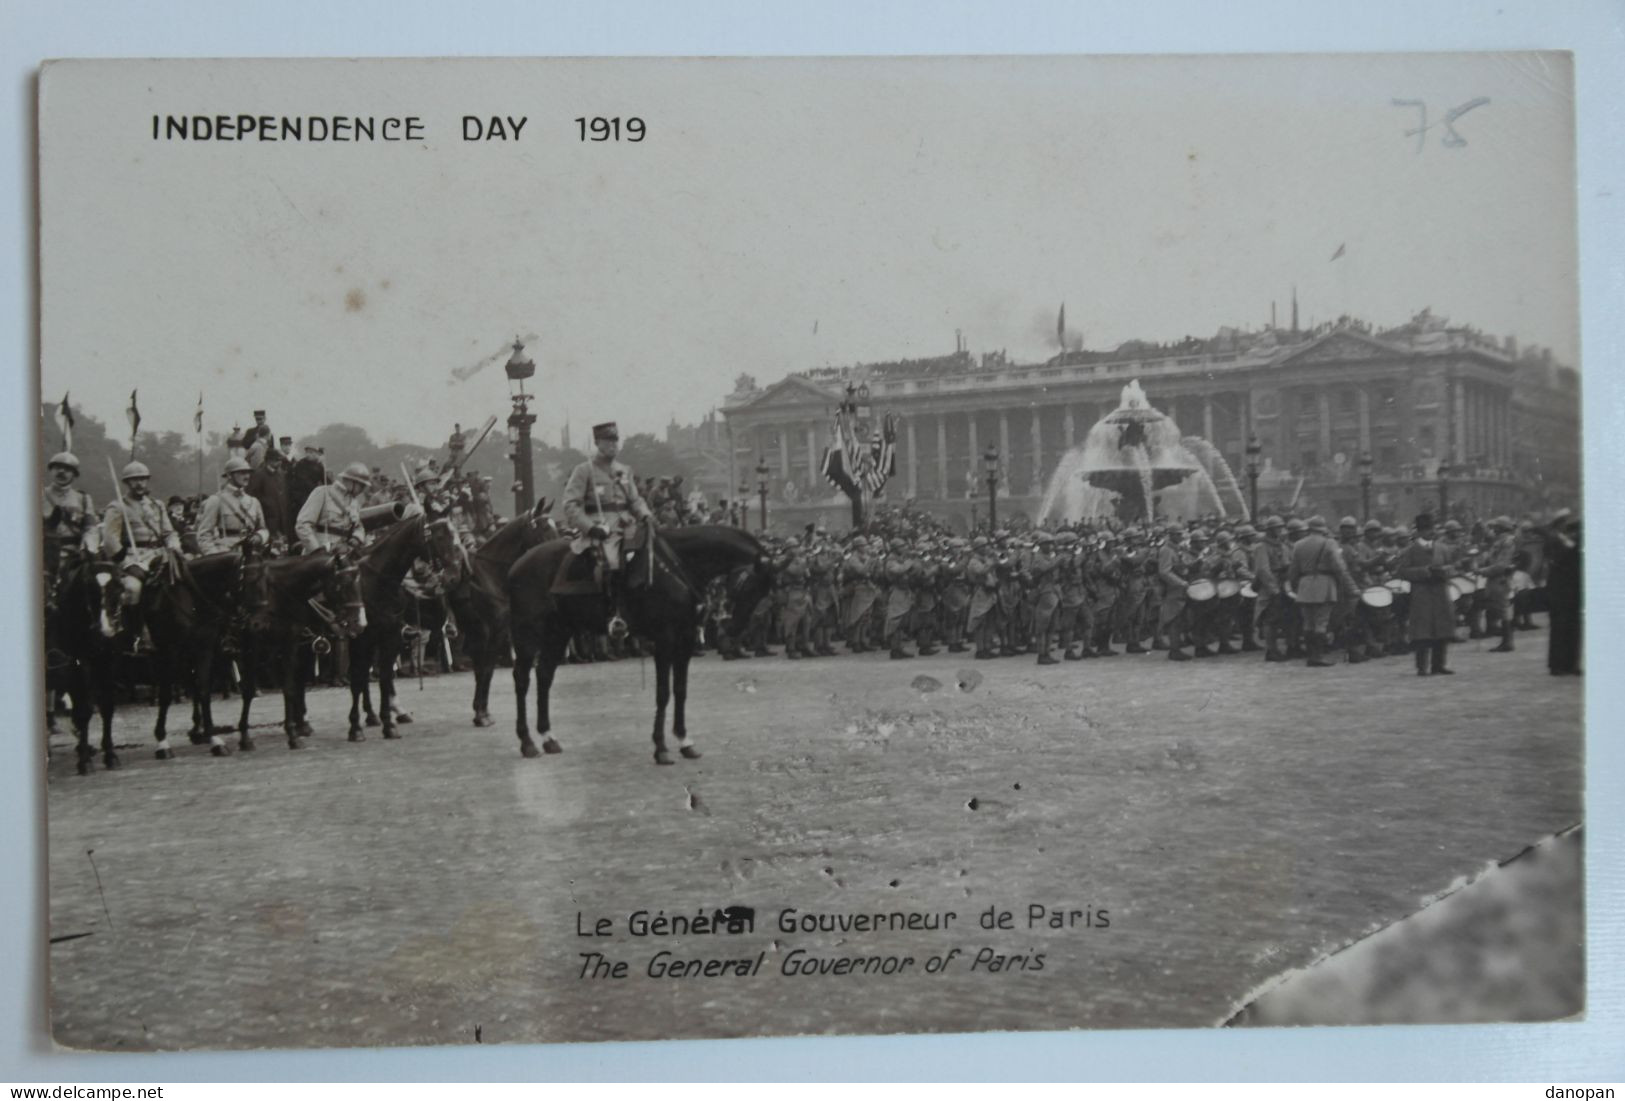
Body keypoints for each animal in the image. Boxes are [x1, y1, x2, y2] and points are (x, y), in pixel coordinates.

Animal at [44, 552, 123, 776]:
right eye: (89, 585)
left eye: (119, 585)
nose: (105, 631)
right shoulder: (79, 665)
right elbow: (84, 709)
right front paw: (84, 761)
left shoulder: (108, 661)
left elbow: (107, 706)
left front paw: (110, 755)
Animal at [503, 522, 770, 763]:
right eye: (750, 584)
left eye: (764, 588)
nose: (734, 628)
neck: (677, 565)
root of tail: (518, 563)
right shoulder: (665, 639)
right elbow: (663, 693)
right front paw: (661, 748)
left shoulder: (685, 639)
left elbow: (680, 690)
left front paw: (685, 741)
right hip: (528, 633)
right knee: (522, 679)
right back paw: (527, 743)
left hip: (557, 632)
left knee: (544, 675)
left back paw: (548, 738)